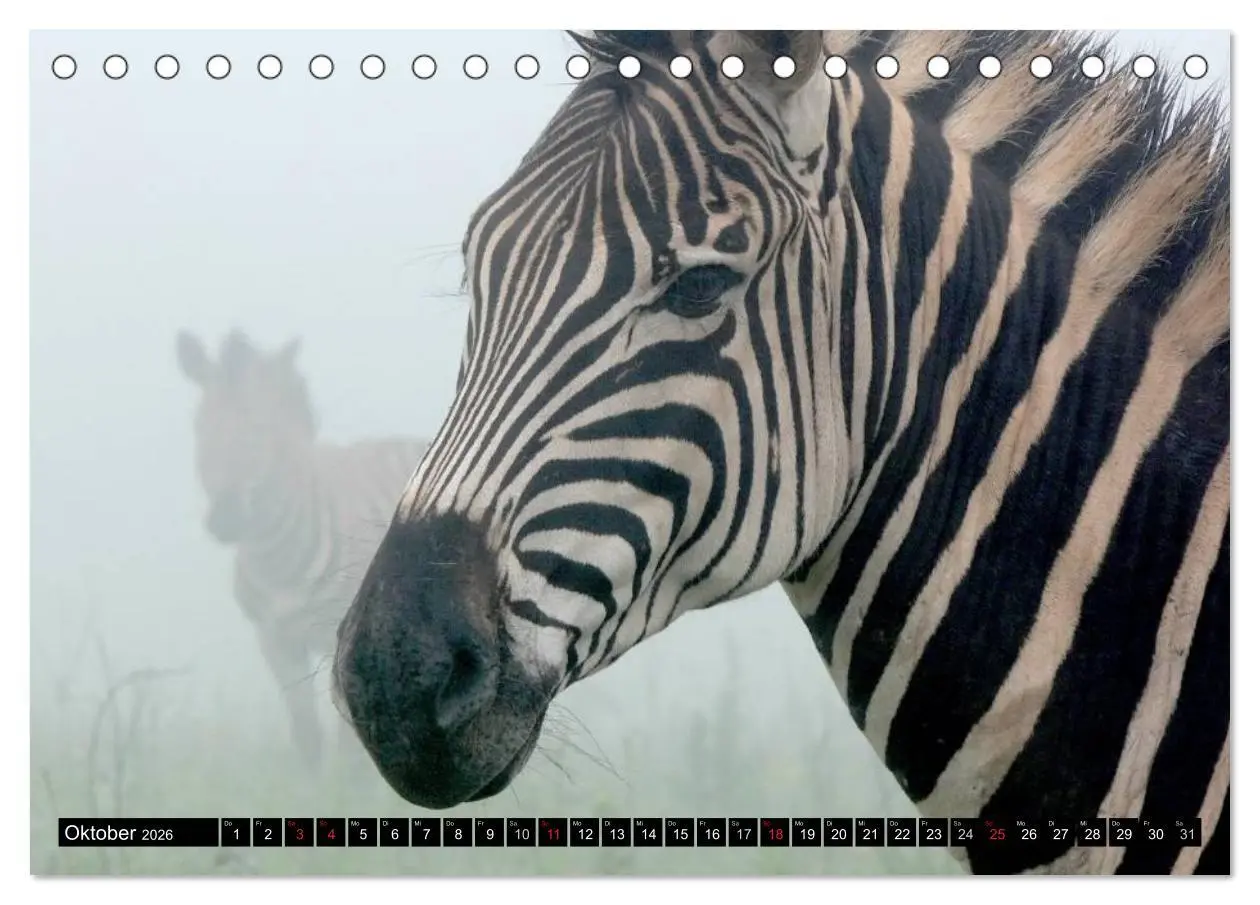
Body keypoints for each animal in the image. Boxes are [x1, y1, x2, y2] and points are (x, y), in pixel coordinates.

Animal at [177, 329, 429, 766]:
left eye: (259, 430)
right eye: (200, 427)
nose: (226, 520)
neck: (276, 560)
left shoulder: (344, 642)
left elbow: (349, 751)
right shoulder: (275, 639)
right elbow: (307, 735)